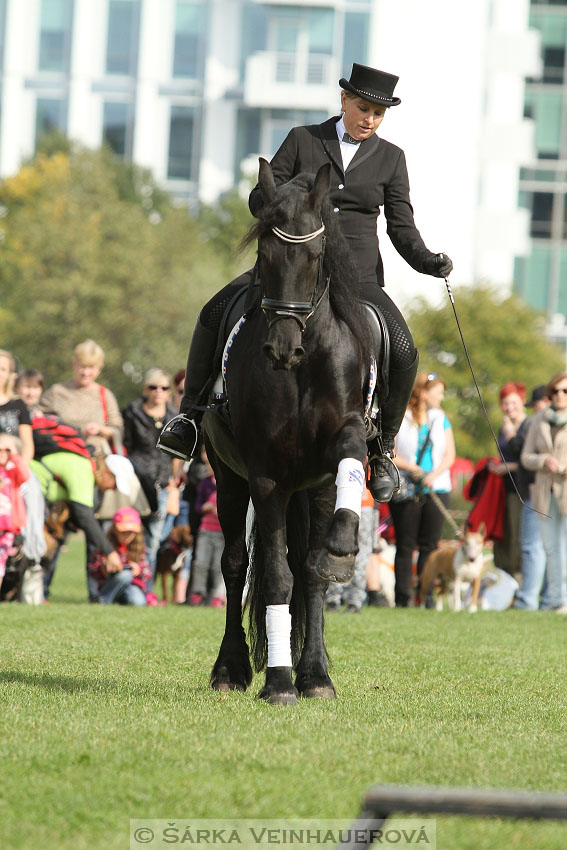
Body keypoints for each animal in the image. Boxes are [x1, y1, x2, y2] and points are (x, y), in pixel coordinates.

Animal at [203, 159, 372, 704]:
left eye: (316, 256)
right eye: (265, 254)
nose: (281, 349)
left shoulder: (335, 449)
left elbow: (313, 569)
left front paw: (341, 546)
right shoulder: (266, 475)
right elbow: (274, 578)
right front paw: (278, 682)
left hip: (309, 491)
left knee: (308, 571)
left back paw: (313, 671)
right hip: (228, 481)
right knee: (236, 567)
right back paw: (230, 669)